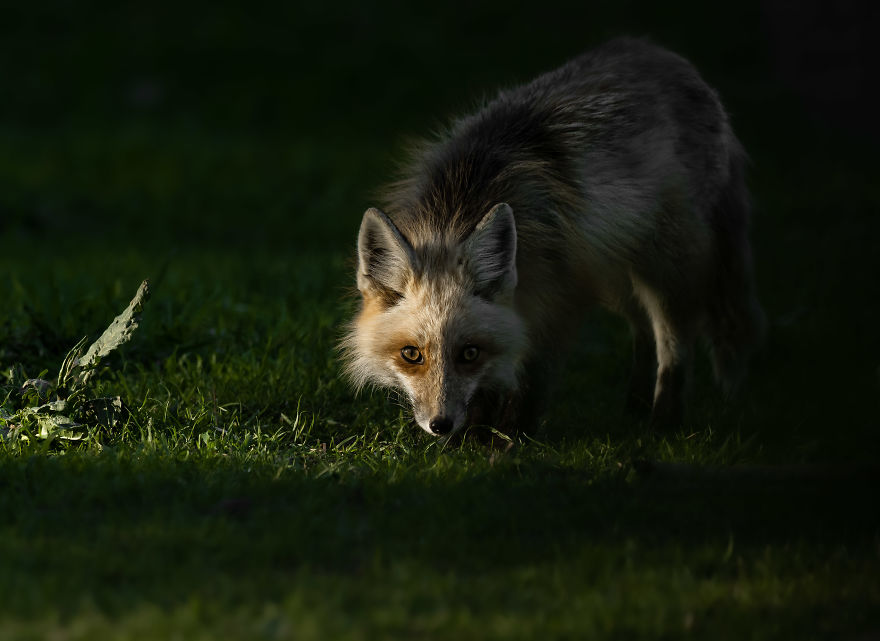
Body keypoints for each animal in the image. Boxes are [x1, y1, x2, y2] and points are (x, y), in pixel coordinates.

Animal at [341, 38, 766, 437]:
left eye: (469, 353)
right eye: (411, 354)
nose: (441, 425)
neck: (461, 202)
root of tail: (652, 49)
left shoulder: (558, 299)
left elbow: (533, 380)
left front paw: (506, 442)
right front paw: (470, 437)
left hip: (667, 269)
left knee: (675, 346)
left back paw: (662, 422)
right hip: (617, 273)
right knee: (643, 331)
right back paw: (634, 405)